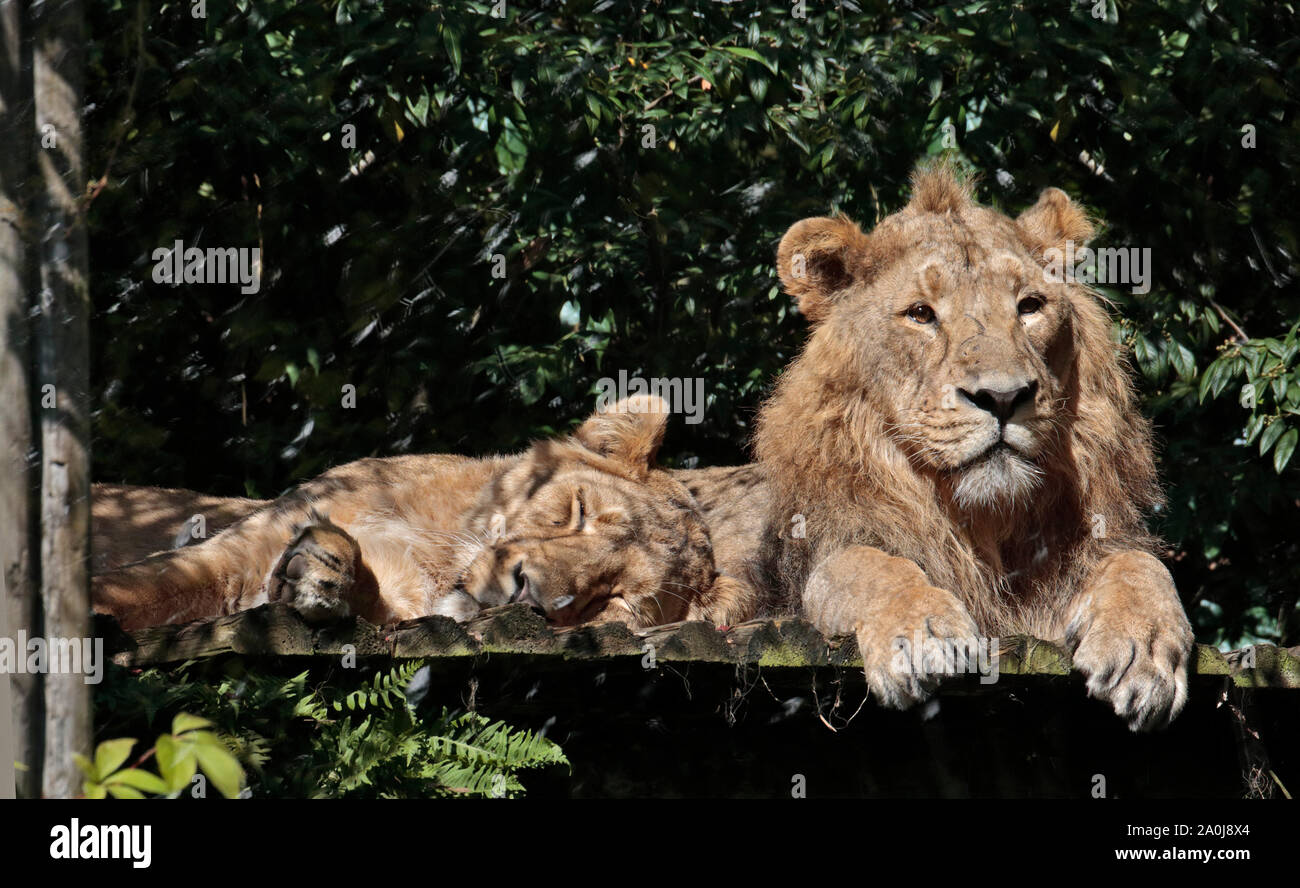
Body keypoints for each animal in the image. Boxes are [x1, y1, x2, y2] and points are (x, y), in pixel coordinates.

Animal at [92, 395, 756, 632]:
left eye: (614, 599)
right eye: (579, 510)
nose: (530, 593)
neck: (441, 548)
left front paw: (325, 575)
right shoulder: (238, 550)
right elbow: (143, 588)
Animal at [753, 162, 1194, 731]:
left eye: (1029, 307)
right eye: (920, 314)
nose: (1003, 397)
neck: (986, 524)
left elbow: (1141, 565)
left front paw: (1144, 648)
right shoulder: (817, 562)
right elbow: (868, 564)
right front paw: (920, 633)